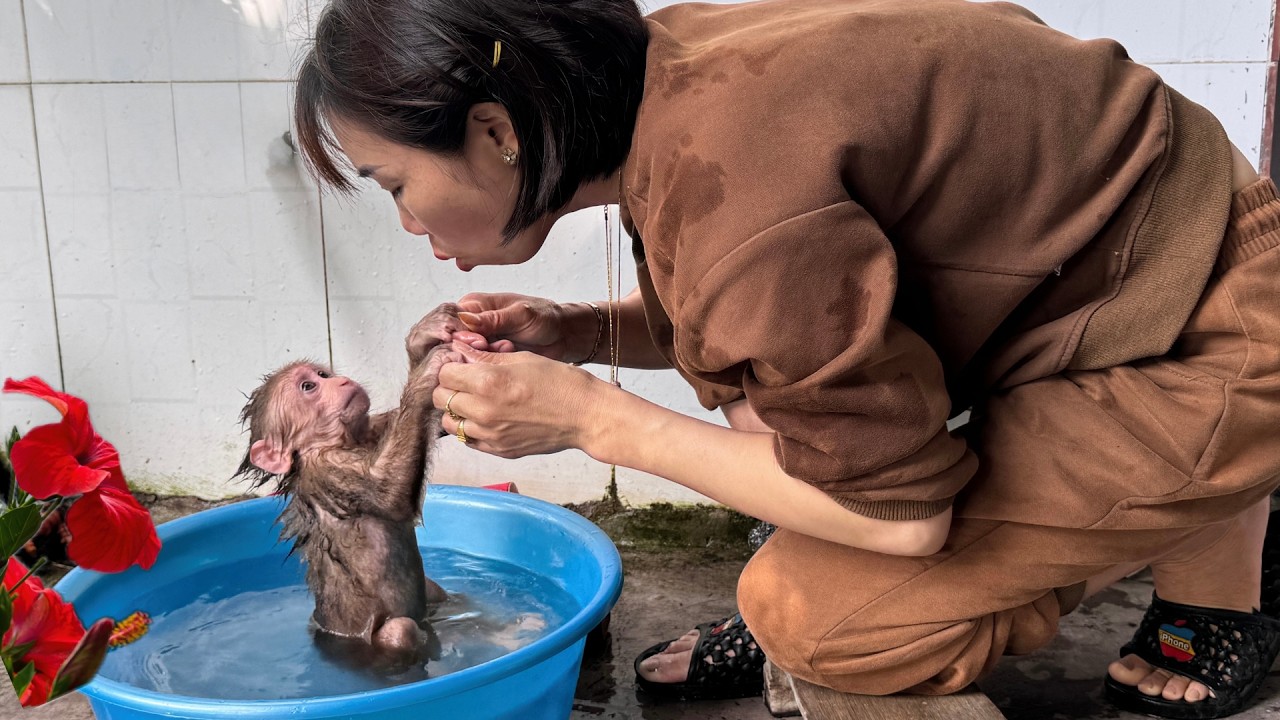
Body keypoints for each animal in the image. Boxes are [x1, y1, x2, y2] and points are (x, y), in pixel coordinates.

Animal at [233, 327, 463, 670]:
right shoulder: (327, 468)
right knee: (399, 632)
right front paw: (427, 372)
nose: (339, 381)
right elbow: (388, 493)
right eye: (309, 387)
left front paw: (422, 340)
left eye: (322, 374)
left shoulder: (372, 429)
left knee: (434, 592)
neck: (341, 442)